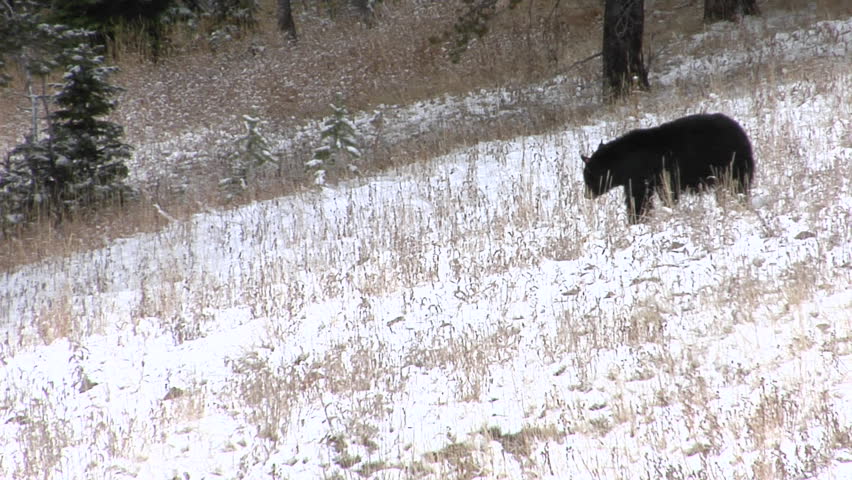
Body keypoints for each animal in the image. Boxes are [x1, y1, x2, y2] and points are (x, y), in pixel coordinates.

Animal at [581, 113, 754, 223]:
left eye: (588, 177)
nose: (586, 195)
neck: (622, 162)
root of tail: (741, 133)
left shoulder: (642, 175)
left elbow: (640, 198)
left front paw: (636, 220)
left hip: (729, 162)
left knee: (737, 184)